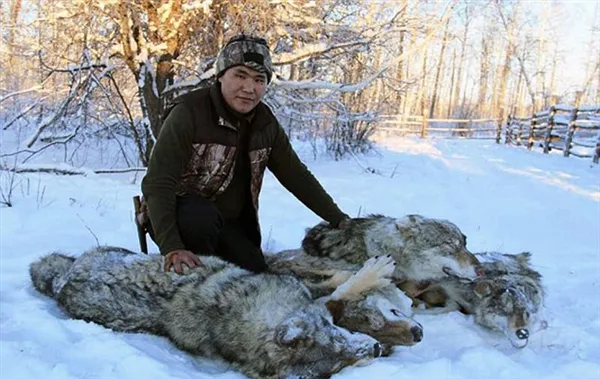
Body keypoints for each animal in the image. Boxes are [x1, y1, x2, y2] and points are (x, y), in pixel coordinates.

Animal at [30, 246, 394, 379]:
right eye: (336, 363)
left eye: (336, 341)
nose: (376, 348)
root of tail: (60, 282)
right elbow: (338, 289)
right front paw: (373, 272)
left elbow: (335, 288)